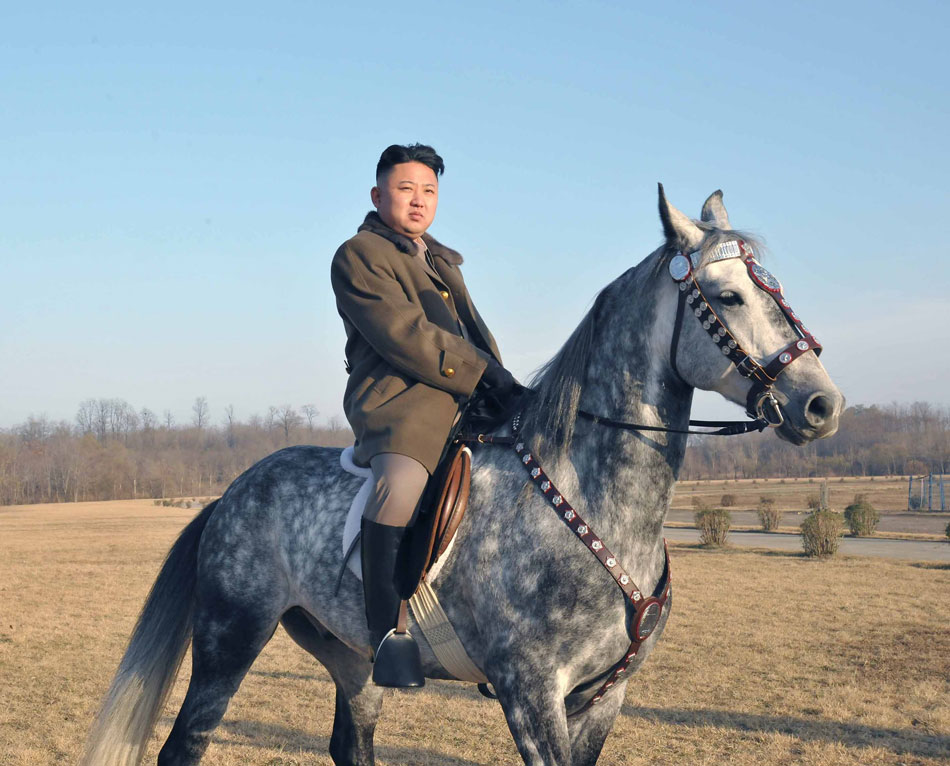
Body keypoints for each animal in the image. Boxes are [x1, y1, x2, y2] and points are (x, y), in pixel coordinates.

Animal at [80, 188, 840, 766]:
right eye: (728, 296)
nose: (820, 404)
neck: (596, 502)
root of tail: (231, 494)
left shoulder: (602, 697)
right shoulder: (531, 694)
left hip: (352, 657)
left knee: (351, 744)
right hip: (229, 639)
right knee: (183, 746)